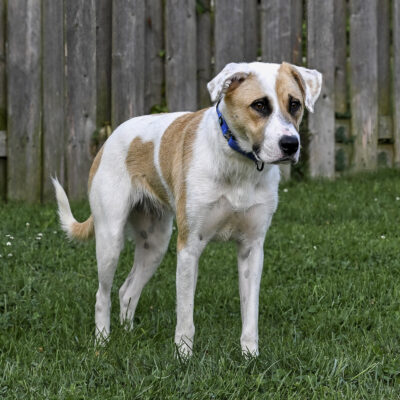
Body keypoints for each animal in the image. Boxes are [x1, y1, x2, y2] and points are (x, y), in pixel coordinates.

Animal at [53, 61, 322, 354]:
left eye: (295, 104)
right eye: (259, 105)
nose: (291, 145)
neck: (237, 163)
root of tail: (110, 138)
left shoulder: (252, 249)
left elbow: (250, 313)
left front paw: (250, 355)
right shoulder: (189, 247)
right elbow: (185, 316)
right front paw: (183, 356)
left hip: (155, 244)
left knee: (127, 291)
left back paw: (129, 334)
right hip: (110, 240)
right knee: (102, 295)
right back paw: (102, 341)